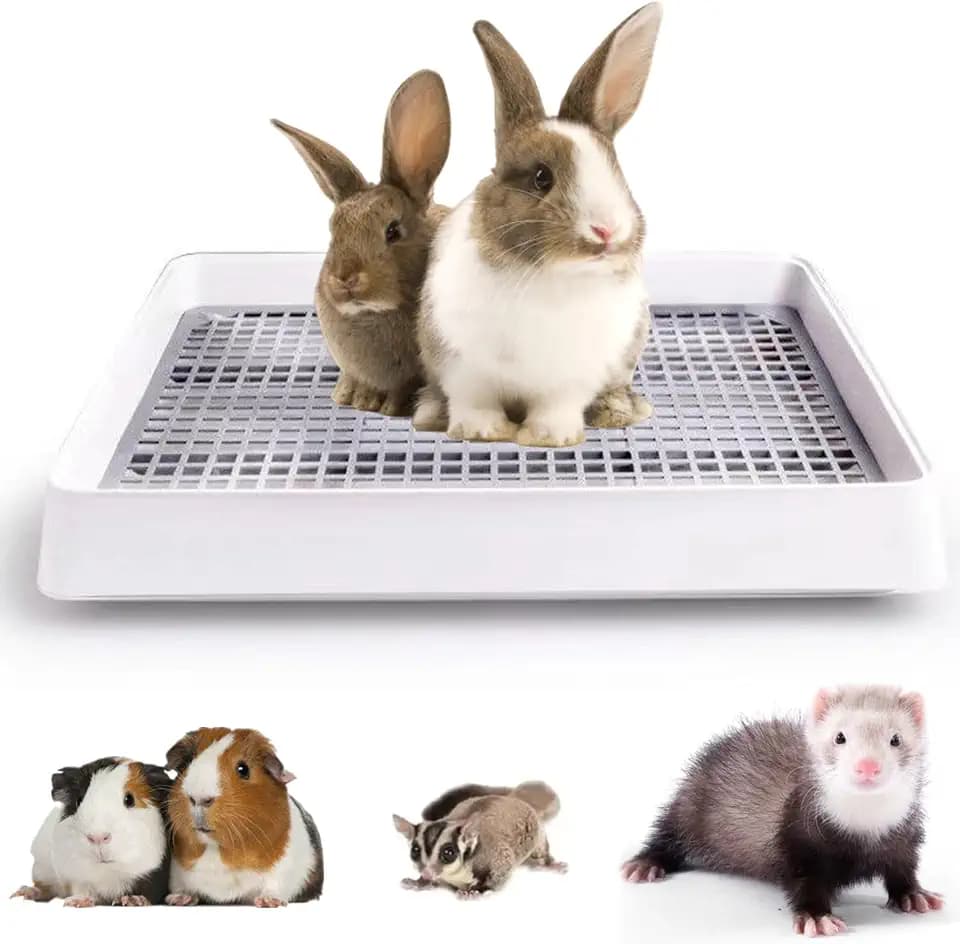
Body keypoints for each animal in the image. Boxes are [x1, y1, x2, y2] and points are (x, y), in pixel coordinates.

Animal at [11, 757, 171, 907]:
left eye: (129, 799)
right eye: (78, 800)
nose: (97, 837)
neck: (108, 874)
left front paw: (133, 900)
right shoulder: (76, 877)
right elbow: (84, 890)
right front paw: (75, 902)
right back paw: (23, 893)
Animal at [164, 727, 323, 907]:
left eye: (243, 769)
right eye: (188, 763)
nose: (199, 798)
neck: (217, 849)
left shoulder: (285, 868)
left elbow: (275, 886)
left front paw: (268, 902)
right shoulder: (176, 872)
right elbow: (180, 886)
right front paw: (178, 899)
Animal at [415, 5, 663, 446]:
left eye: (617, 172)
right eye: (541, 177)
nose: (606, 231)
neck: (551, 276)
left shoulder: (571, 377)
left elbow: (557, 406)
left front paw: (552, 437)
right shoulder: (461, 365)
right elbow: (475, 401)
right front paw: (481, 432)